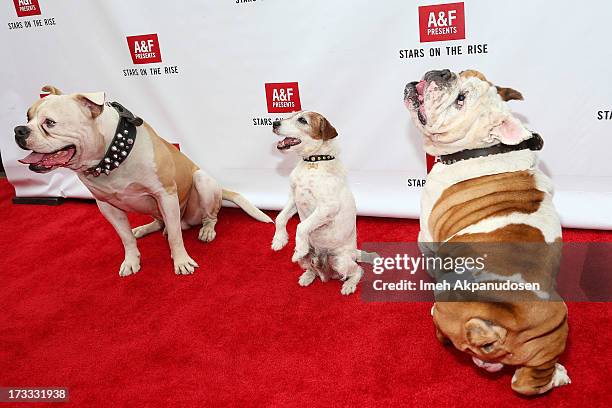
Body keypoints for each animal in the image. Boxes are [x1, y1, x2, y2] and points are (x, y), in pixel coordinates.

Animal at [14, 86, 272, 278]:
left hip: (202, 181)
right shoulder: (106, 206)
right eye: (27, 117)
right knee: (160, 223)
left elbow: (176, 237)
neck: (112, 156)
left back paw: (207, 230)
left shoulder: (165, 194)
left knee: (206, 217)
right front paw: (131, 260)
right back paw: (146, 228)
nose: (19, 130)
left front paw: (181, 261)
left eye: (50, 122)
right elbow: (125, 238)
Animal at [270, 111, 360, 294]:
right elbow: (280, 218)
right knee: (313, 269)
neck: (314, 161)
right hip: (309, 260)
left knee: (358, 271)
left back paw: (349, 285)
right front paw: (279, 240)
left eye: (302, 120)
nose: (274, 123)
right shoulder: (294, 199)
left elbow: (301, 226)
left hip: (340, 261)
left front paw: (299, 247)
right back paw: (308, 276)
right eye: (290, 115)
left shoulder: (327, 208)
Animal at [404, 70, 572, 396]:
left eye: (461, 99)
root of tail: (504, 320)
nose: (442, 73)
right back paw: (557, 375)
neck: (481, 150)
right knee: (527, 382)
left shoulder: (427, 236)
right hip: (555, 327)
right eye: (461, 73)